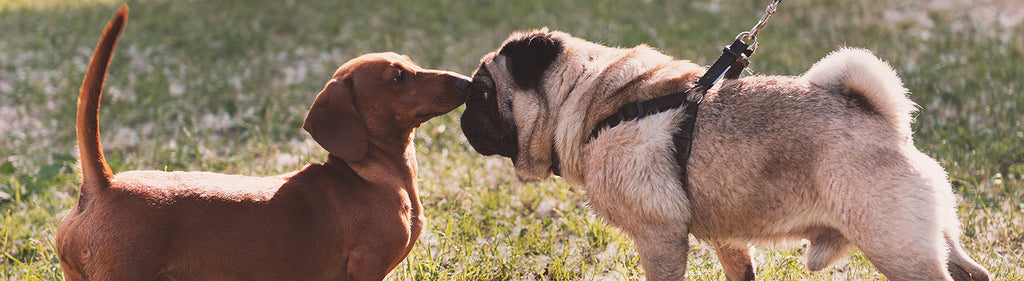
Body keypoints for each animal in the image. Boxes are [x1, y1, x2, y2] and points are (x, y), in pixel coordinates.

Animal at [56, 5, 471, 278]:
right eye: (398, 77)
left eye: (410, 63)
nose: (466, 82)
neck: (371, 176)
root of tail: (103, 185)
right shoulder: (366, 266)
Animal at [460, 29, 987, 281]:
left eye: (484, 92)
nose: (464, 114)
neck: (590, 104)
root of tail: (889, 124)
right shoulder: (725, 239)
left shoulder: (659, 238)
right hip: (928, 239)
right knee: (972, 272)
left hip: (894, 247)